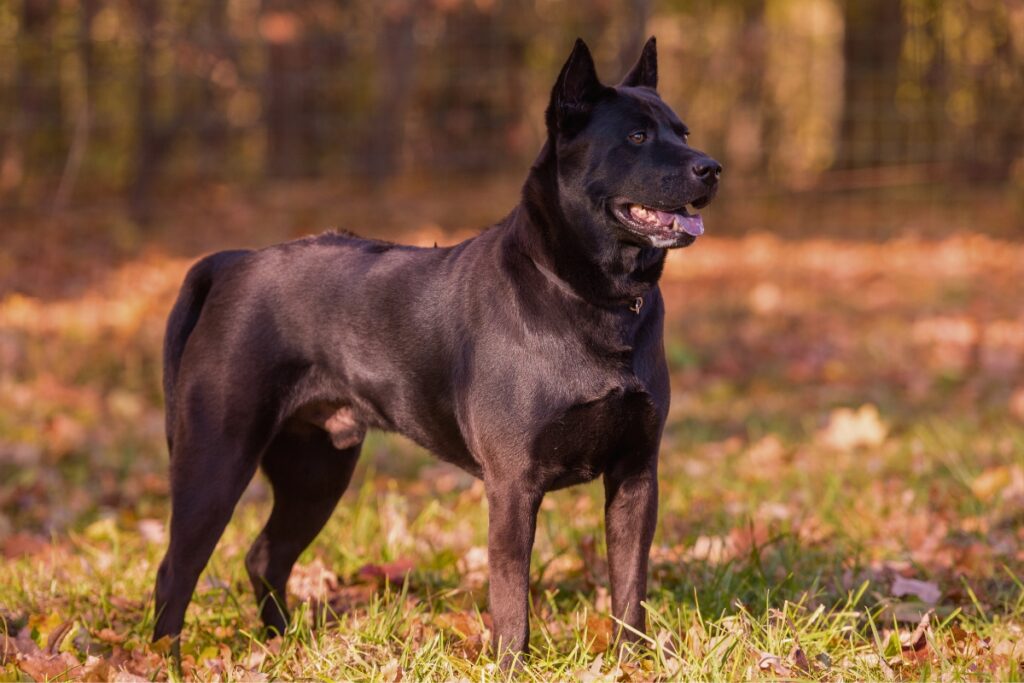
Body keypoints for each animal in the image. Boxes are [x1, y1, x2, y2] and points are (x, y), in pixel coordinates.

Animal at [153, 36, 720, 663]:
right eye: (637, 137)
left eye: (683, 132)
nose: (711, 168)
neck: (594, 297)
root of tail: (233, 262)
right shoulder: (513, 485)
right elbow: (511, 601)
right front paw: (512, 666)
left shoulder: (636, 475)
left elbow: (629, 588)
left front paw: (631, 663)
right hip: (216, 459)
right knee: (175, 571)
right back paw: (166, 661)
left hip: (317, 470)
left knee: (265, 556)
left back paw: (280, 644)